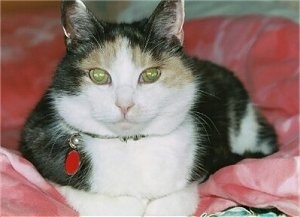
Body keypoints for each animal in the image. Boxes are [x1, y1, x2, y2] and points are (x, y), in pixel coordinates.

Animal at [19, 0, 278, 214]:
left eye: (151, 74)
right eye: (98, 75)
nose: (125, 105)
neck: (131, 144)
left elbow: (173, 201)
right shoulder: (38, 147)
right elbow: (105, 201)